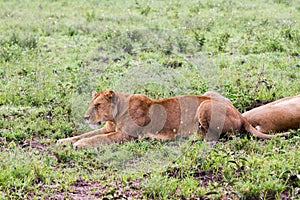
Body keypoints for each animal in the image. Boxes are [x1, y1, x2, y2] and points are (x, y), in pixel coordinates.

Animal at [56, 90, 288, 148]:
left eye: (97, 105)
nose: (86, 116)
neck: (116, 115)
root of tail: (240, 114)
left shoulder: (126, 136)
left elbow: (97, 138)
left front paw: (80, 144)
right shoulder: (107, 128)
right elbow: (88, 133)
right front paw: (63, 141)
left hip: (204, 105)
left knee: (215, 136)